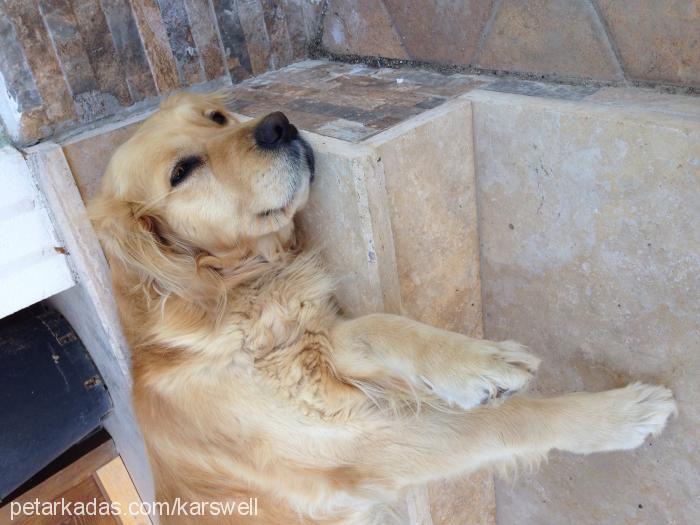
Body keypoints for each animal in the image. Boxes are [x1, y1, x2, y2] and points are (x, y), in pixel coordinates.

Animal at [90, 93, 676, 524]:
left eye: (215, 116)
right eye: (182, 171)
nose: (279, 125)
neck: (236, 291)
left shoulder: (318, 348)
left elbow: (384, 325)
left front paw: (476, 365)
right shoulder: (356, 448)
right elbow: (504, 424)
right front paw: (623, 414)